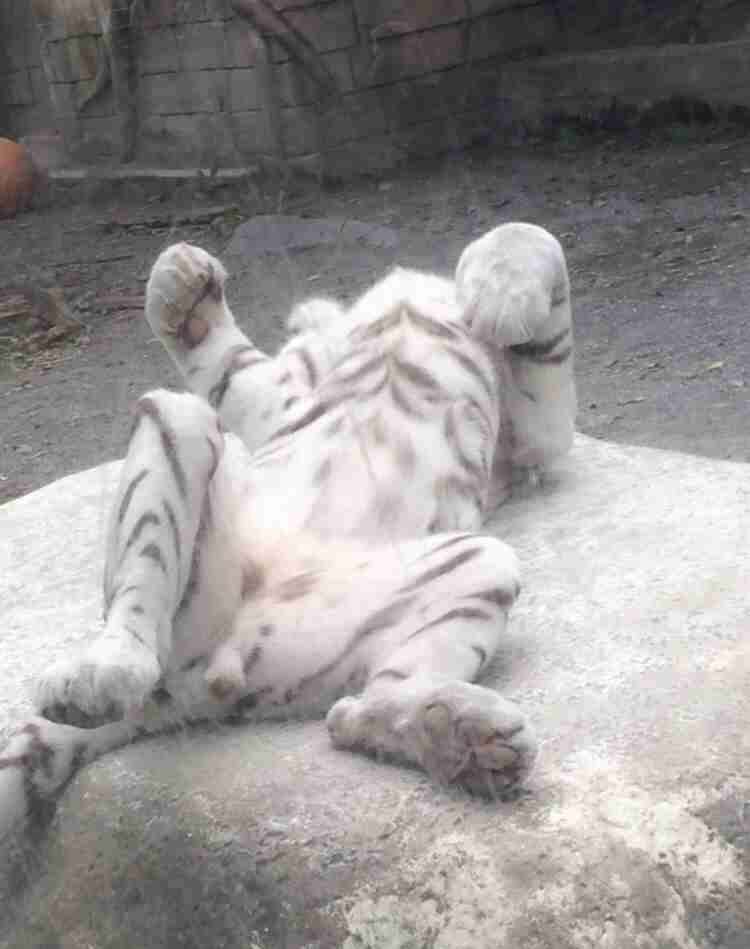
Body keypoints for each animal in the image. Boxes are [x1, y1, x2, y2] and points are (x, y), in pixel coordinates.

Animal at [0, 221, 576, 841]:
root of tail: (183, 691)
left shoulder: (532, 437)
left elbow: (535, 241)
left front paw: (499, 295)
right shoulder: (278, 400)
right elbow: (232, 371)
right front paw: (179, 283)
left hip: (472, 564)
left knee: (357, 710)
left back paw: (465, 737)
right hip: (178, 428)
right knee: (139, 616)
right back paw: (99, 673)